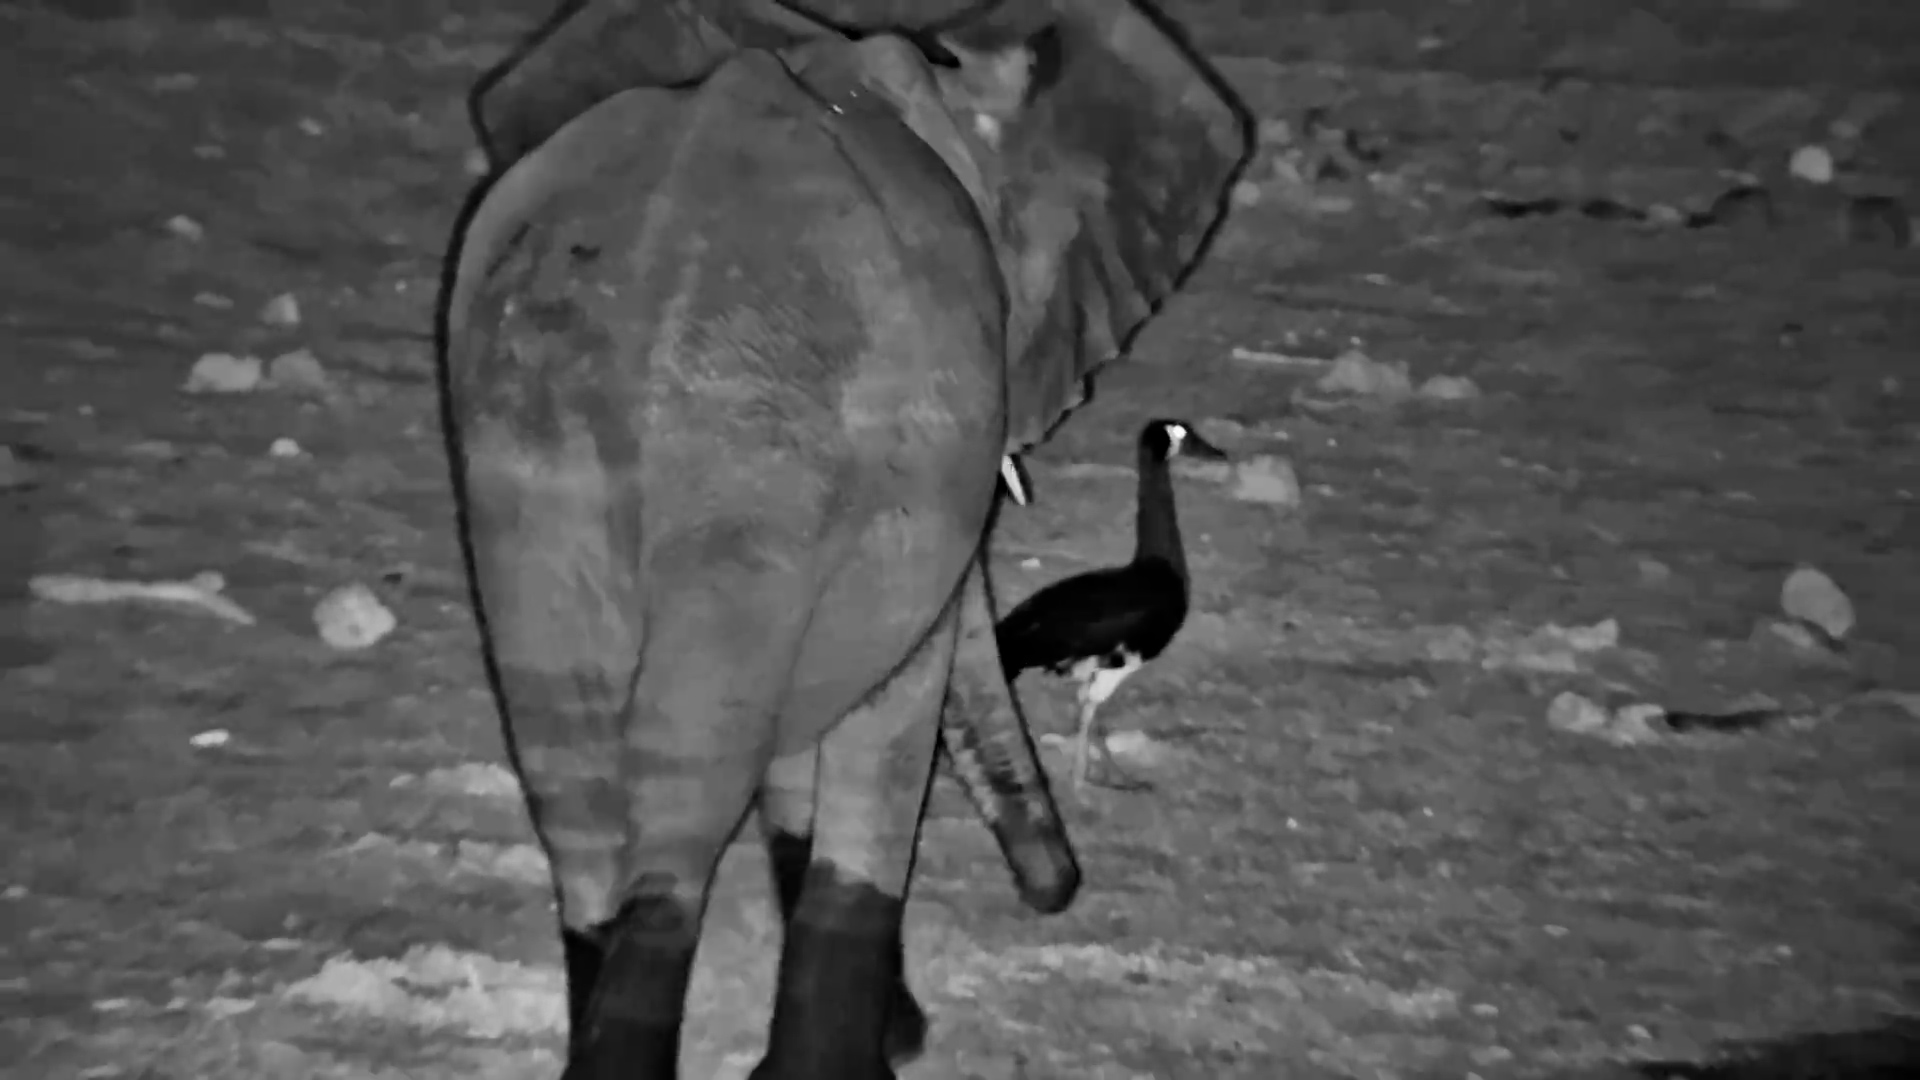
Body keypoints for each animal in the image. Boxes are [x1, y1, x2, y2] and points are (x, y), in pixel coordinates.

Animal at [436, 0, 1250, 1076]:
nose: (1058, 890)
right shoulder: (917, 480)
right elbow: (896, 707)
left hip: (532, 461)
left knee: (577, 782)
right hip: (740, 470)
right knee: (683, 795)